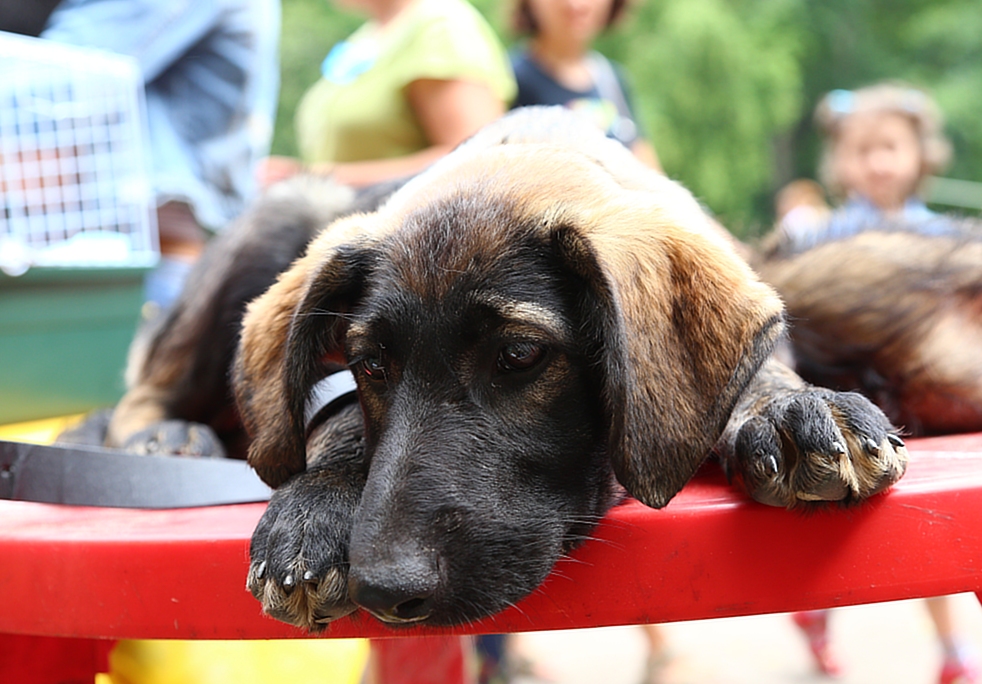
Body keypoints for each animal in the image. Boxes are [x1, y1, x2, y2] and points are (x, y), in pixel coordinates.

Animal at [98, 108, 908, 632]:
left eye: (520, 356)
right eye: (369, 364)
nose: (387, 592)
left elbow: (762, 371)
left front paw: (794, 408)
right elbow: (339, 416)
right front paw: (315, 506)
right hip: (285, 210)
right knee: (146, 386)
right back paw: (165, 438)